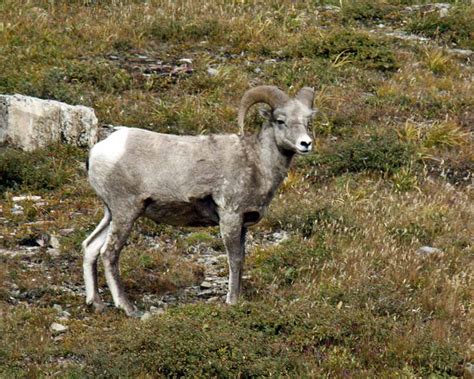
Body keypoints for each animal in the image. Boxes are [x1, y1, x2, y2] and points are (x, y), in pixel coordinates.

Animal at [82, 86, 314, 318]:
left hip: (111, 214)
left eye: (307, 121)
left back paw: (97, 304)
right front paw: (232, 301)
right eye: (280, 120)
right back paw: (128, 308)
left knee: (90, 246)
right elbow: (234, 259)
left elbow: (241, 258)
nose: (306, 143)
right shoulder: (230, 217)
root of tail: (97, 152)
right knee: (109, 253)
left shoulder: (243, 225)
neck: (256, 162)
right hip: (126, 213)